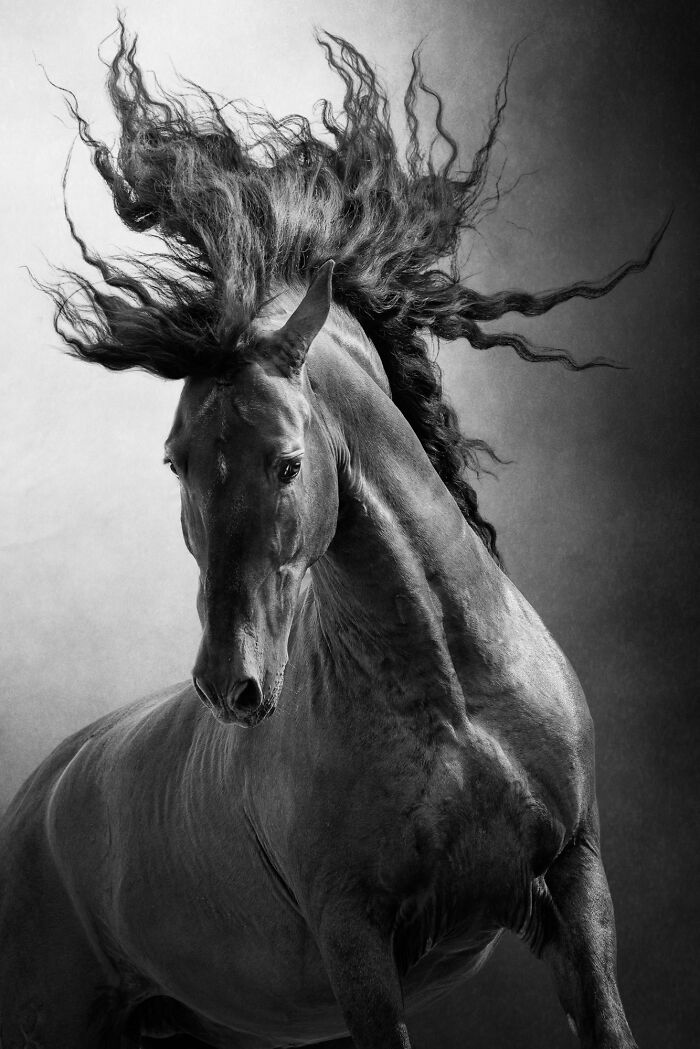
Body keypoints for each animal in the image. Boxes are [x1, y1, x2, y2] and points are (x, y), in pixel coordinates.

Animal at [0, 24, 660, 1049]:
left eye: (286, 462)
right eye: (176, 462)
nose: (231, 685)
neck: (455, 696)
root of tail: (40, 791)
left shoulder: (576, 887)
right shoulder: (358, 944)